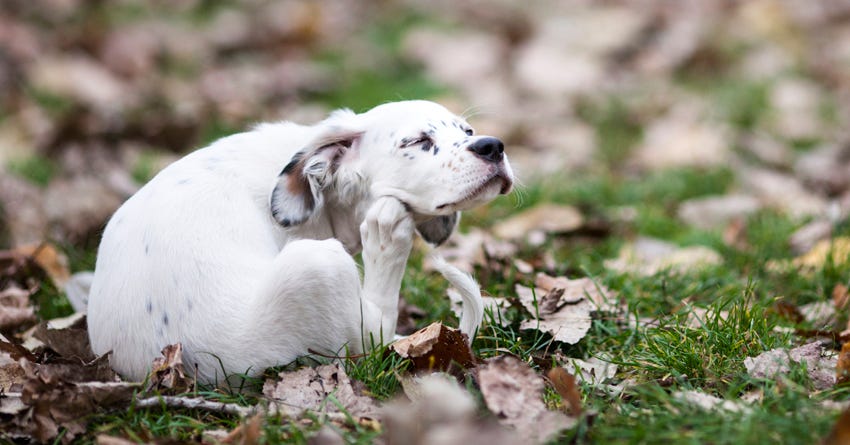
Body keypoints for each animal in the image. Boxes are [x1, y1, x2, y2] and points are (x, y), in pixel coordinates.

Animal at [86, 100, 512, 382]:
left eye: (468, 132)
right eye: (418, 141)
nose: (492, 146)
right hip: (318, 266)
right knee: (377, 328)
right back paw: (387, 234)